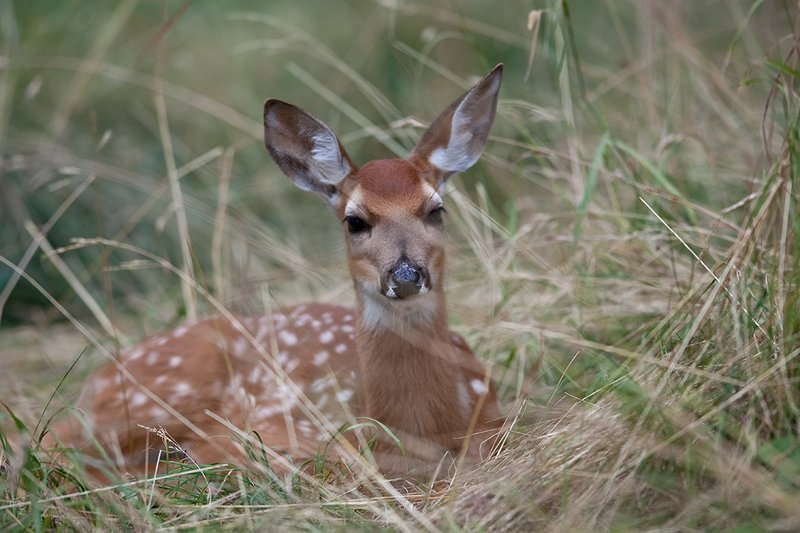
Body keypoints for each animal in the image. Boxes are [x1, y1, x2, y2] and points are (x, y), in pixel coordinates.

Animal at [45, 64, 505, 481]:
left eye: (435, 210)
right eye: (355, 221)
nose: (406, 274)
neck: (428, 430)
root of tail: (96, 378)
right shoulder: (276, 426)